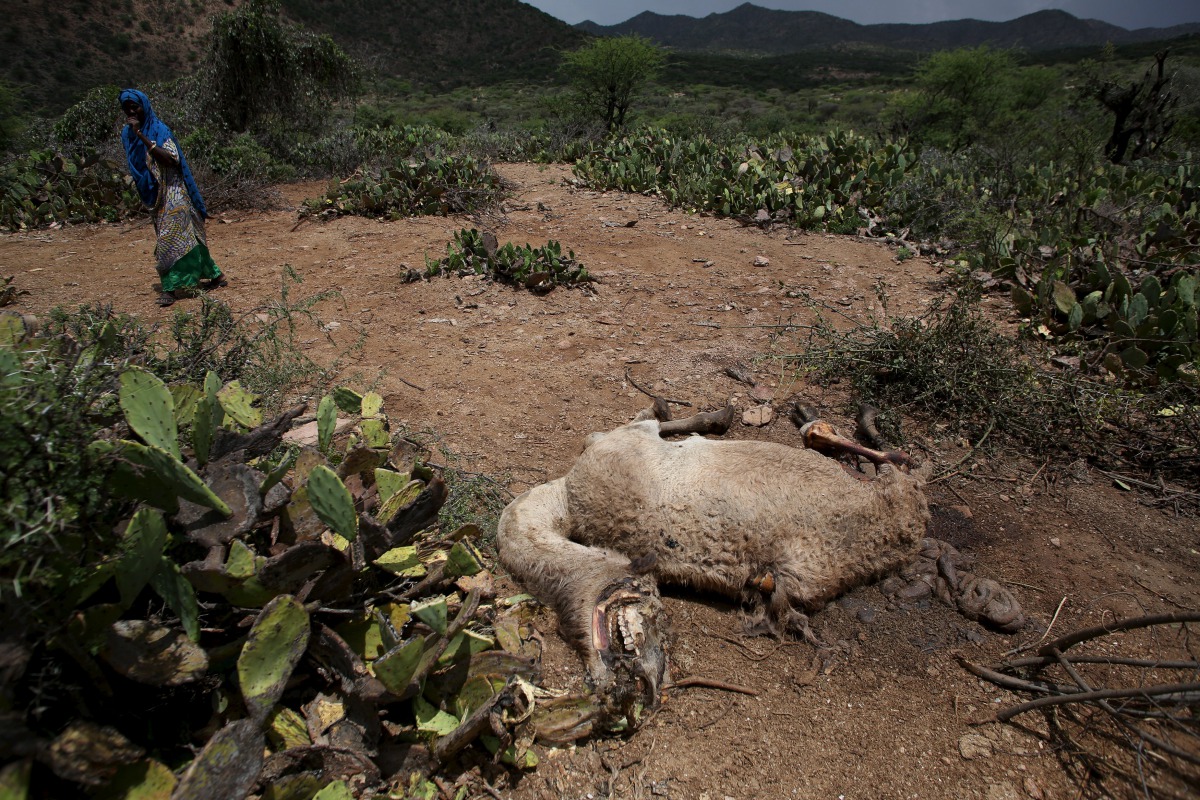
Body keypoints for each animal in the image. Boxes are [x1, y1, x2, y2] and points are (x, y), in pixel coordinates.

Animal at [497, 403, 1023, 726]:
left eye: (656, 620)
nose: (640, 688)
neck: (569, 498)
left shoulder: (621, 445)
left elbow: (641, 422)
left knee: (892, 461)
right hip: (893, 501)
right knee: (895, 464)